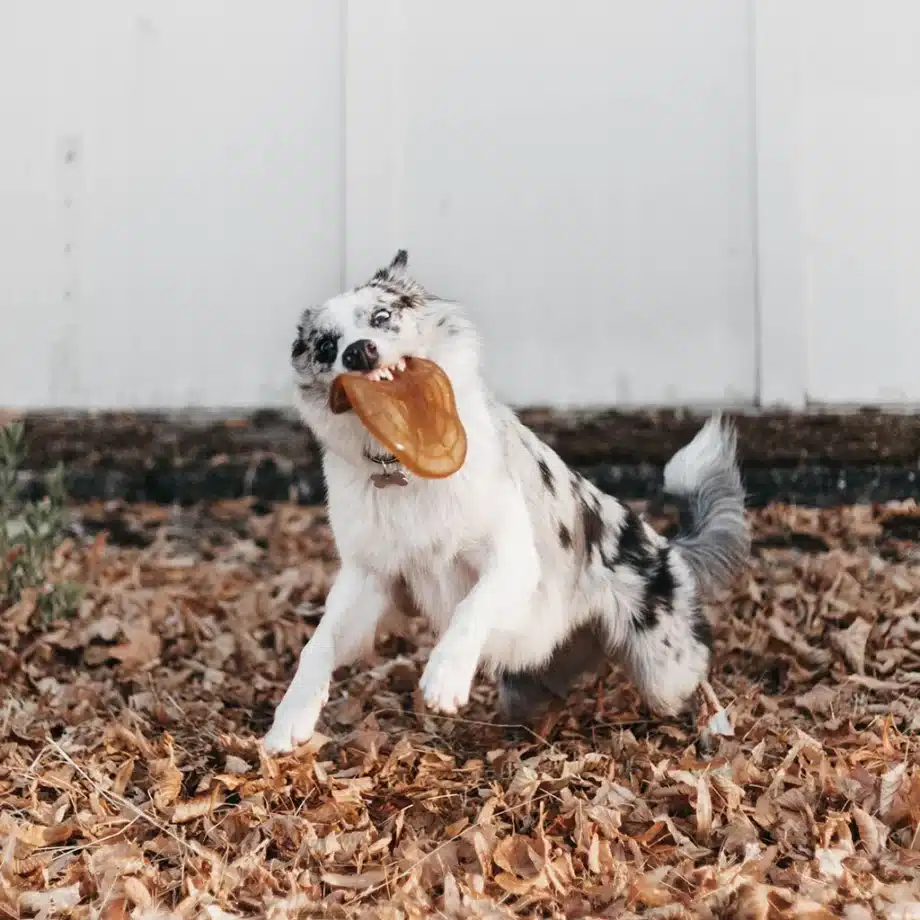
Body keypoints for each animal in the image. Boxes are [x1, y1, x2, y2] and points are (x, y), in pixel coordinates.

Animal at [262, 252, 752, 756]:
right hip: (527, 684)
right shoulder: (370, 578)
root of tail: (669, 548)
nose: (359, 352)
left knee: (697, 668)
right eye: (326, 346)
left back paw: (716, 722)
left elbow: (472, 606)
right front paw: (289, 720)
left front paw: (445, 676)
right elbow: (317, 644)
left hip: (664, 670)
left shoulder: (512, 556)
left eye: (381, 317)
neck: (406, 463)